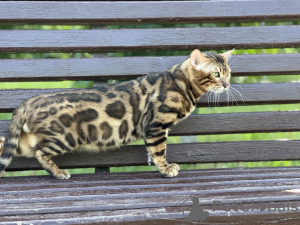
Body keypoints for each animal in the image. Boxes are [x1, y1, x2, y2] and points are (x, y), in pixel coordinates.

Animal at [0, 49, 233, 179]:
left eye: (228, 73)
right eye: (215, 74)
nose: (227, 84)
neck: (181, 83)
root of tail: (28, 102)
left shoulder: (152, 130)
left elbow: (151, 151)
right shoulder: (156, 125)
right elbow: (159, 151)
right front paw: (165, 170)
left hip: (23, 141)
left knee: (5, 145)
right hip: (63, 138)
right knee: (40, 152)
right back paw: (59, 173)